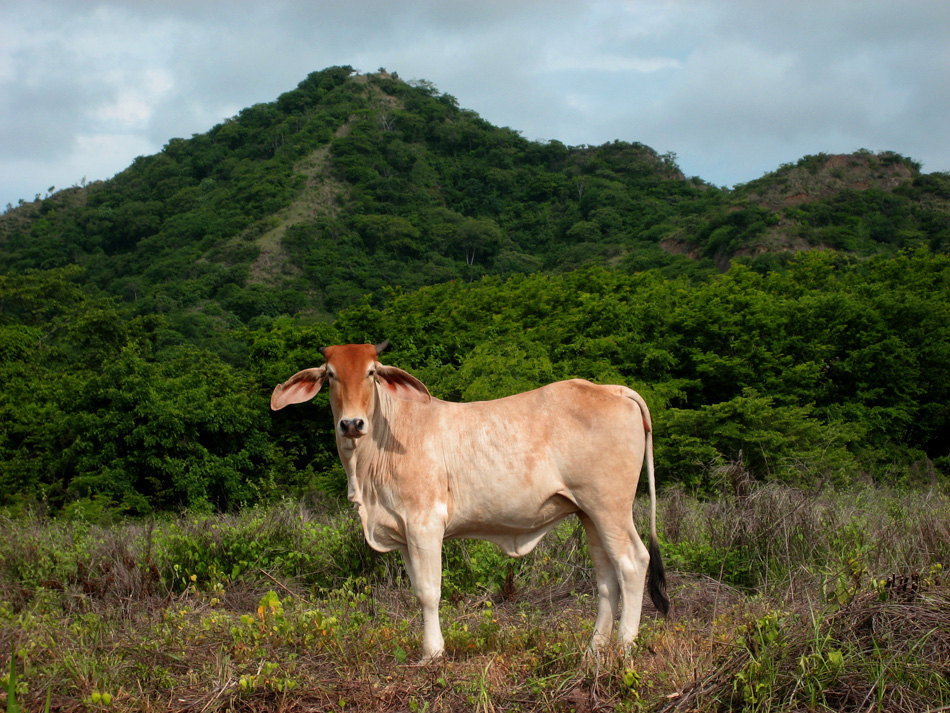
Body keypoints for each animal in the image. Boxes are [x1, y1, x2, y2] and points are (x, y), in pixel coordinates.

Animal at [270, 342, 668, 660]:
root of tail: (614, 389)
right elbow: (417, 589)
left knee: (632, 563)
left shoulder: (425, 523)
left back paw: (624, 648)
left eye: (372, 372)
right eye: (331, 375)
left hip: (610, 507)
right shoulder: (402, 531)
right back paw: (594, 649)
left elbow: (429, 592)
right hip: (589, 514)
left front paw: (432, 654)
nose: (351, 424)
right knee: (607, 578)